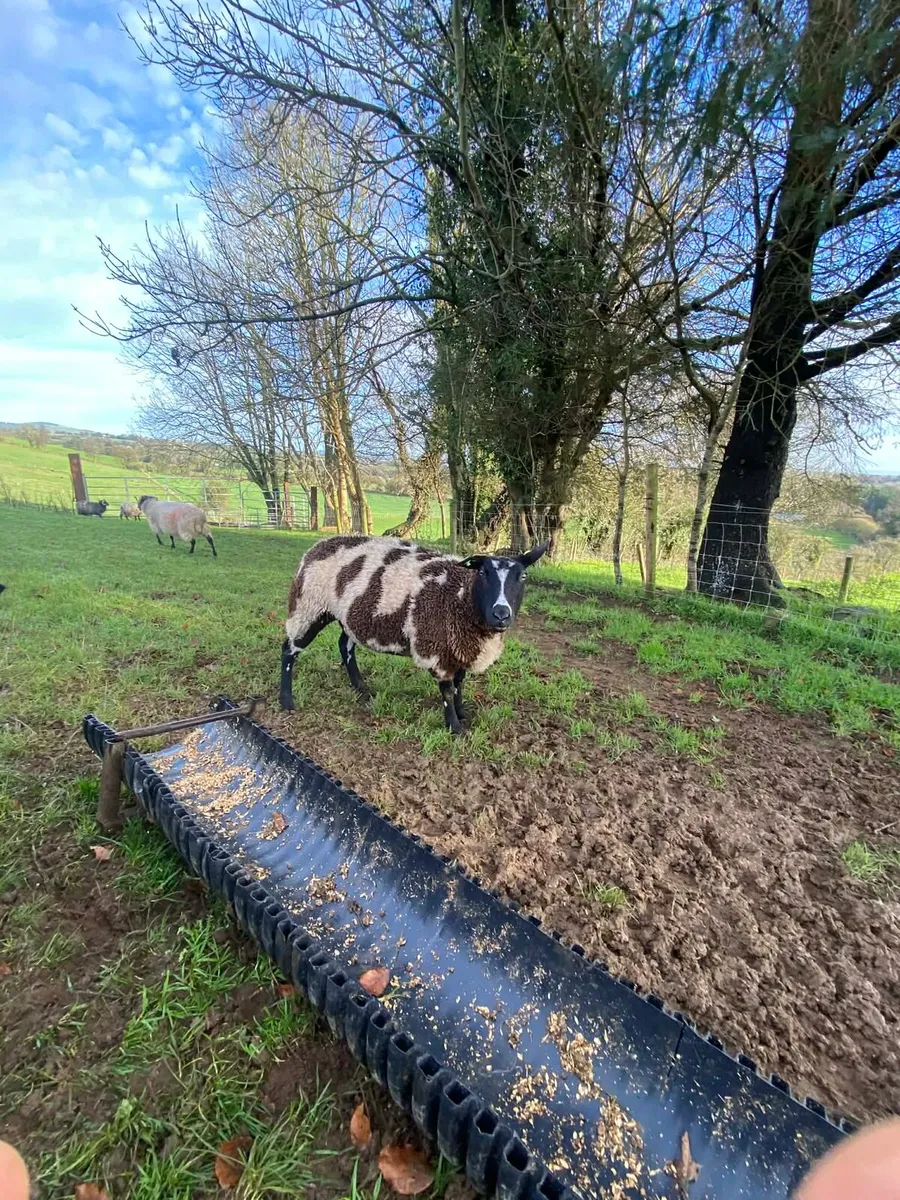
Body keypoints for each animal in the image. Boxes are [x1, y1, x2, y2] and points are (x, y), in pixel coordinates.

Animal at [280, 534, 548, 734]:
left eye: (523, 576)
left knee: (345, 645)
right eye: (483, 573)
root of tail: (318, 545)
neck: (461, 598)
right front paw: (455, 727)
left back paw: (362, 689)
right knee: (289, 649)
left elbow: (460, 684)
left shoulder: (458, 647)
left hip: (349, 615)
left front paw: (462, 713)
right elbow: (447, 690)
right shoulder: (437, 649)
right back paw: (286, 700)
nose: (501, 614)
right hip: (309, 606)